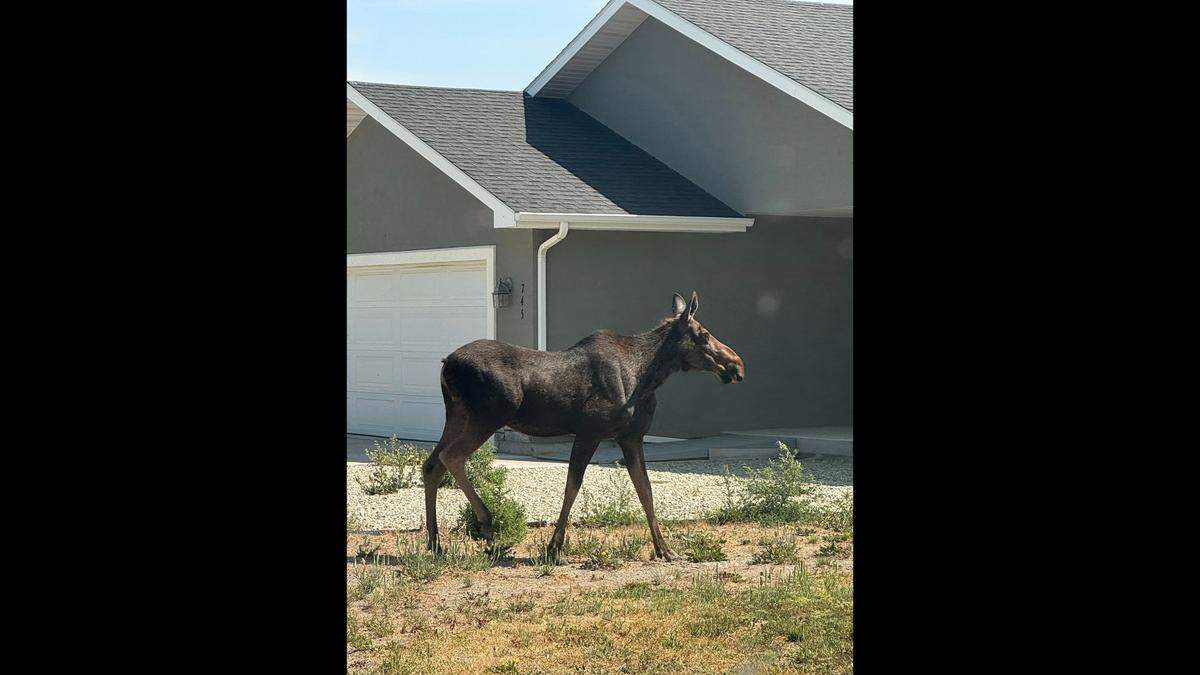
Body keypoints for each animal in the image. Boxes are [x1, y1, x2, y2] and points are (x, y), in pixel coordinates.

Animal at [422, 291, 745, 561]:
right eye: (703, 335)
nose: (737, 365)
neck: (647, 377)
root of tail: (446, 364)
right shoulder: (590, 432)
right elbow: (572, 487)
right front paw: (553, 548)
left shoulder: (631, 438)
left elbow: (646, 492)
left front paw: (665, 550)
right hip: (487, 416)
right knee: (451, 456)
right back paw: (487, 525)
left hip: (457, 416)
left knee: (432, 464)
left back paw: (435, 543)